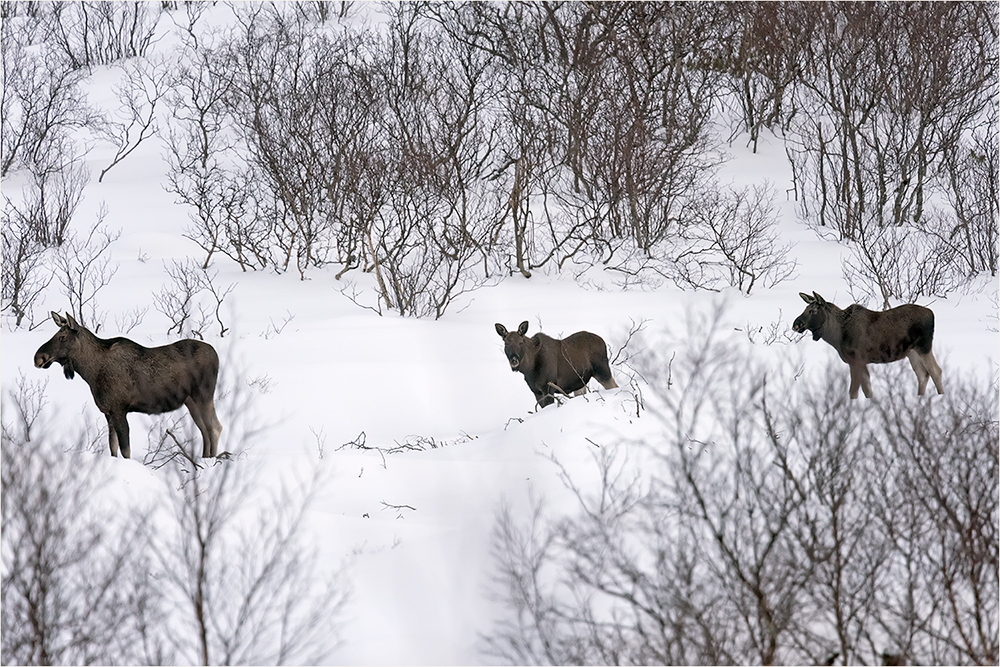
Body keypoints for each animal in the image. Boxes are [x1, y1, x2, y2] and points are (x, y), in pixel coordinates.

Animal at [35, 312, 225, 460]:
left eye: (62, 337)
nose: (38, 357)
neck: (90, 372)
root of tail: (216, 355)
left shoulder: (119, 409)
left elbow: (125, 450)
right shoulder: (108, 412)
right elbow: (113, 447)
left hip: (203, 395)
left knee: (215, 427)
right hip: (190, 401)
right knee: (204, 429)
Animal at [788, 290, 944, 396]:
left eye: (813, 310)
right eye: (805, 308)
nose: (796, 324)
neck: (837, 336)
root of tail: (932, 314)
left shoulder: (856, 360)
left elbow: (854, 391)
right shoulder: (860, 362)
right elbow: (866, 389)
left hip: (923, 347)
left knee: (936, 371)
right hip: (911, 352)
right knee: (922, 374)